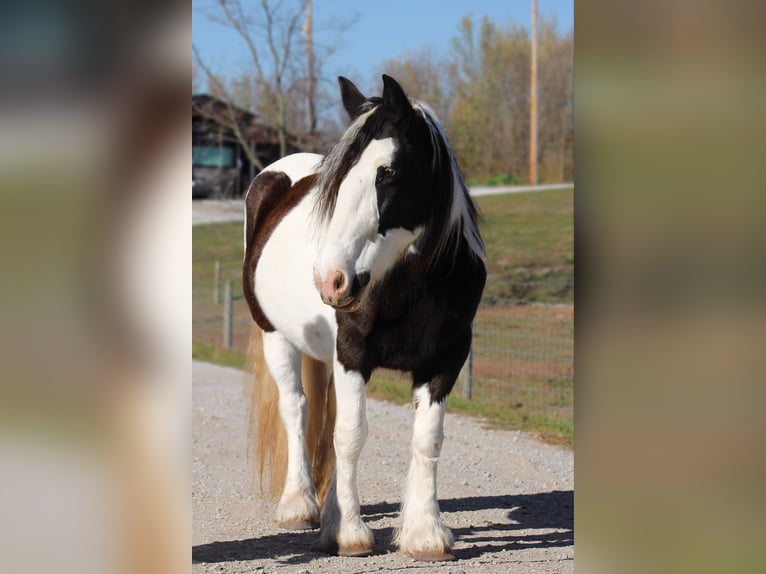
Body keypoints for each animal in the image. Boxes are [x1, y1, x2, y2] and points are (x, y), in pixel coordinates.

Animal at [243, 75, 488, 564]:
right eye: (337, 182)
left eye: (387, 172)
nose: (331, 280)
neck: (409, 286)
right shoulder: (353, 353)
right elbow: (352, 435)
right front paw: (349, 534)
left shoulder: (446, 360)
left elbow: (426, 439)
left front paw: (424, 533)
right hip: (276, 337)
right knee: (296, 410)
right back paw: (299, 504)